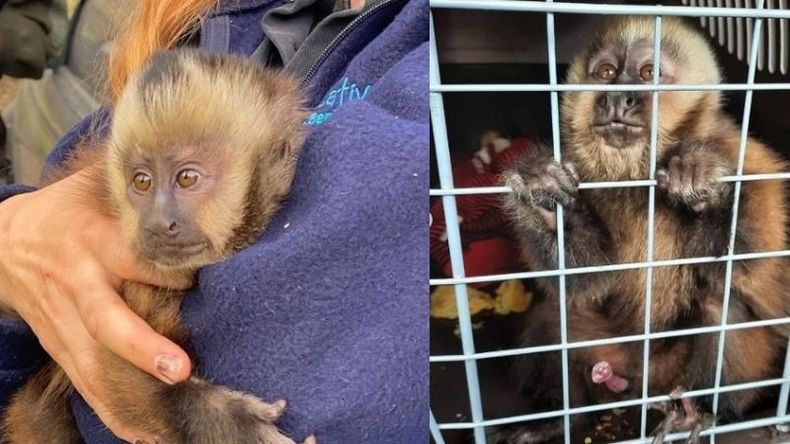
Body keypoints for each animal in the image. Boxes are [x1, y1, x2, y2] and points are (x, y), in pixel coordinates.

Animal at [491, 16, 790, 444]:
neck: (637, 173)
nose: (618, 99)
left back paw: (698, 413)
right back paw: (560, 422)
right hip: (611, 354)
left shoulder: (745, 158)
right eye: (606, 73)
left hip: (673, 374)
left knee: (720, 304)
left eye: (649, 73)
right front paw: (545, 202)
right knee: (555, 315)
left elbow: (748, 265)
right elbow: (586, 278)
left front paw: (703, 183)